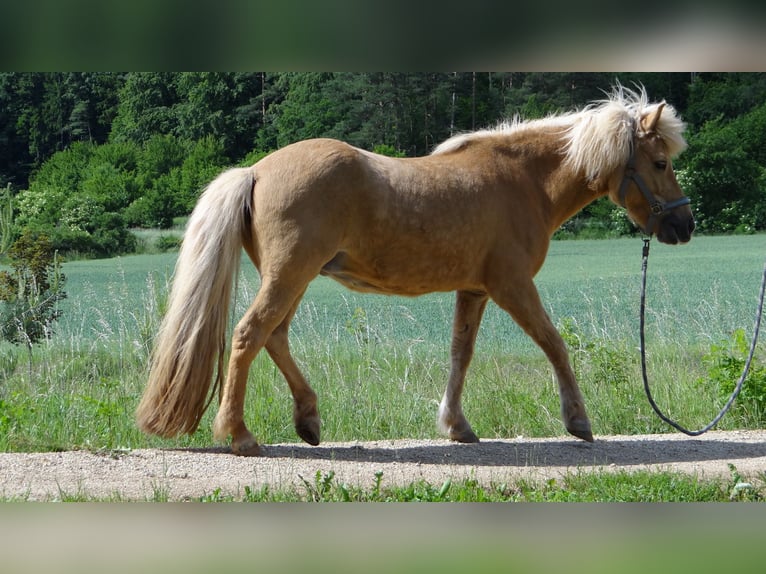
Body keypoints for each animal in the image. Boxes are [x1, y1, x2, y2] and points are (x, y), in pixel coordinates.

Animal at [136, 86, 694, 455]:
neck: (523, 181)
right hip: (290, 275)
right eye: (661, 162)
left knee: (274, 337)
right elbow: (554, 343)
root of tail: (255, 171)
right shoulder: (512, 285)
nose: (684, 225)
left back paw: (308, 419)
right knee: (249, 336)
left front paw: (457, 426)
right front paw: (577, 420)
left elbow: (460, 355)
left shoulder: (474, 290)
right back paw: (240, 434)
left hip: (295, 277)